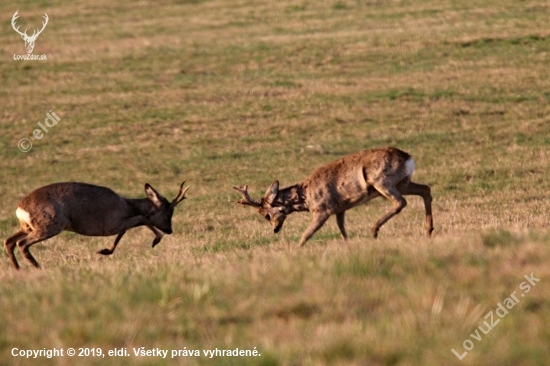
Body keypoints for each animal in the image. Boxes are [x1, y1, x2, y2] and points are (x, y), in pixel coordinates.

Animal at [4, 181, 191, 268]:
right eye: (168, 214)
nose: (170, 230)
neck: (126, 206)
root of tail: (20, 209)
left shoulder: (116, 225)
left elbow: (128, 229)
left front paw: (105, 251)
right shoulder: (112, 223)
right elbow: (141, 219)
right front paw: (156, 240)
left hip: (27, 226)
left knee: (8, 241)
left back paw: (18, 269)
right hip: (50, 224)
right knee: (21, 243)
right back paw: (38, 267)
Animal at [235, 148, 434, 246]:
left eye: (267, 215)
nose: (275, 229)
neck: (306, 197)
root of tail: (408, 157)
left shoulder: (323, 209)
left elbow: (307, 234)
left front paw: (297, 250)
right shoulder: (340, 208)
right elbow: (342, 230)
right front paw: (348, 246)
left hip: (382, 181)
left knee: (401, 202)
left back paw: (374, 230)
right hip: (402, 182)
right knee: (425, 189)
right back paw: (428, 231)